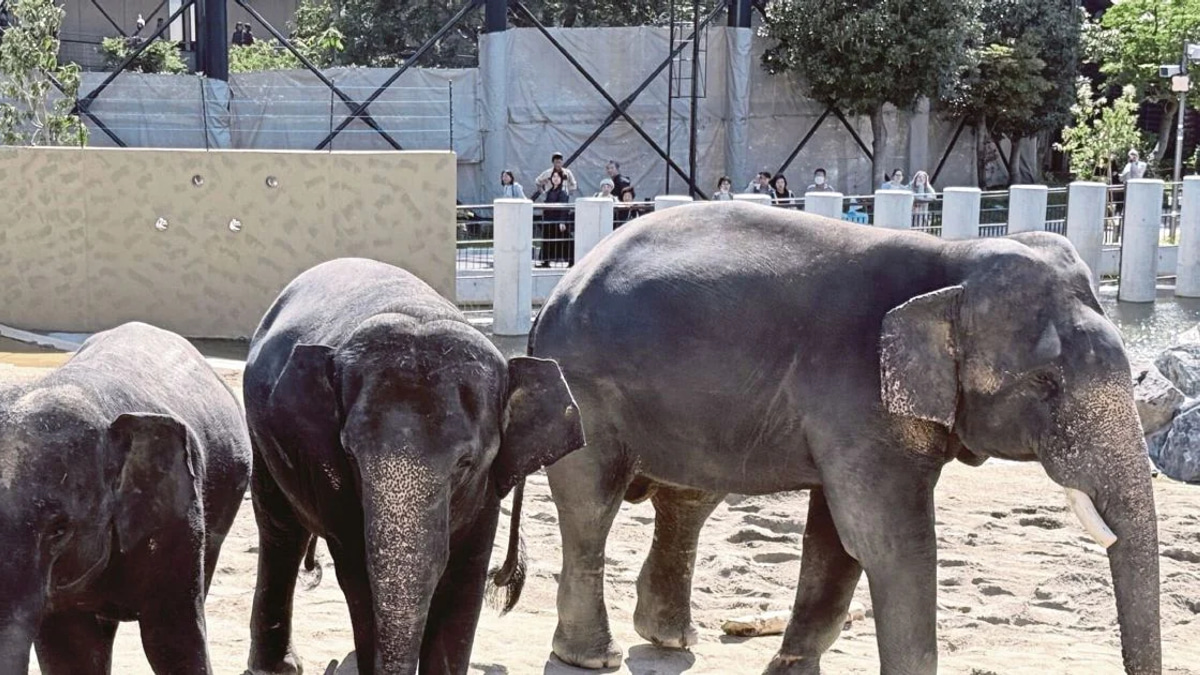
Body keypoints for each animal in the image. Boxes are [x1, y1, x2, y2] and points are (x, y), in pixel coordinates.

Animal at [242, 257, 585, 675]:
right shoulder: (330, 472)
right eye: (351, 456)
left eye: (466, 464)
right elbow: (358, 573)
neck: (419, 310)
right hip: (260, 435)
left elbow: (464, 579)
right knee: (280, 530)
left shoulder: (486, 488)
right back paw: (277, 666)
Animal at [527, 201, 1160, 674]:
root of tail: (558, 289)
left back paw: (671, 639)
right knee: (593, 503)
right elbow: (888, 539)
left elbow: (838, 536)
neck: (951, 261)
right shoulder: (857, 395)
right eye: (1046, 382)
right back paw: (593, 657)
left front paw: (789, 669)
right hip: (586, 386)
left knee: (689, 500)